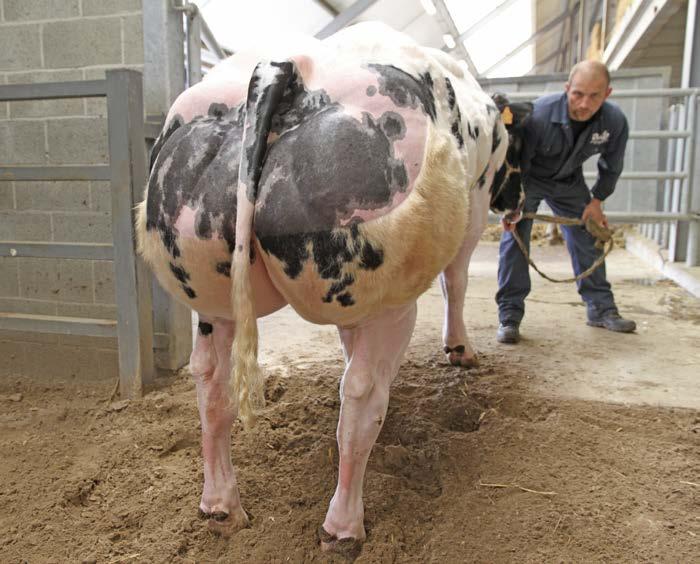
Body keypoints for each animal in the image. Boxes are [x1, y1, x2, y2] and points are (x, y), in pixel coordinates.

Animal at [137, 22, 532, 556]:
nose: (518, 205)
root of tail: (281, 67)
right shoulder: (472, 210)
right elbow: (458, 280)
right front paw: (461, 350)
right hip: (389, 300)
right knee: (361, 400)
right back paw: (343, 527)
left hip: (211, 296)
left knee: (212, 388)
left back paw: (221, 507)